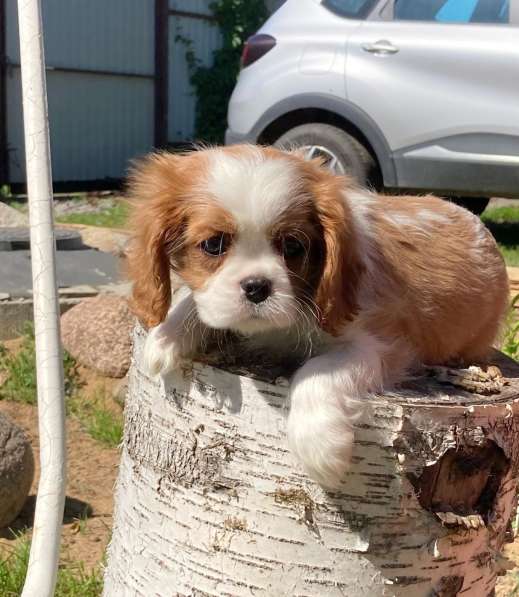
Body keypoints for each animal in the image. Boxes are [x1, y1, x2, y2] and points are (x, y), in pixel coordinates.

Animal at [125, 144, 508, 488]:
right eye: (214, 245)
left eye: (293, 247)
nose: (257, 287)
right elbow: (195, 301)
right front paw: (165, 337)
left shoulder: (381, 344)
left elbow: (317, 370)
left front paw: (320, 446)